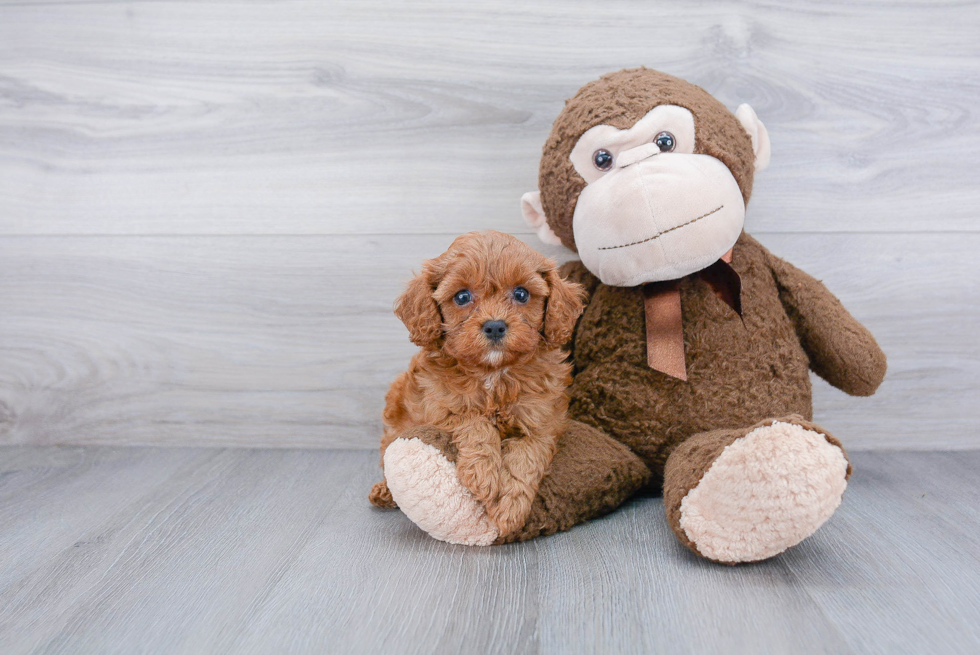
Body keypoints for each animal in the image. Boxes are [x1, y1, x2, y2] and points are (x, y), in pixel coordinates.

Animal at [368, 231, 580, 540]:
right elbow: (474, 422)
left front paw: (509, 508)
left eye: (521, 294)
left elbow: (526, 459)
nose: (494, 326)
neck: (493, 373)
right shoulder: (442, 406)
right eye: (462, 296)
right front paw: (483, 475)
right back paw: (384, 491)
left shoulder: (541, 422)